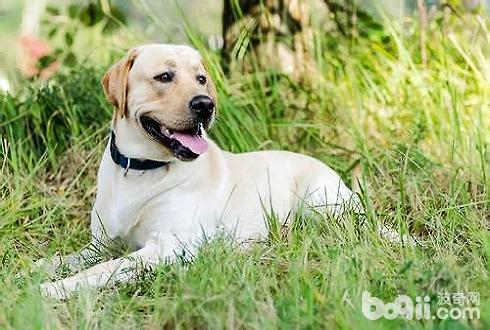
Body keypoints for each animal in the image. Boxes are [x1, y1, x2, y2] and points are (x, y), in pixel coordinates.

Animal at [39, 43, 360, 300]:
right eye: (164, 76)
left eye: (201, 79)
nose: (206, 104)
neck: (140, 168)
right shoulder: (101, 245)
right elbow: (67, 258)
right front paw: (36, 268)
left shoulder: (167, 247)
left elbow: (103, 269)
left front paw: (55, 288)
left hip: (318, 204)